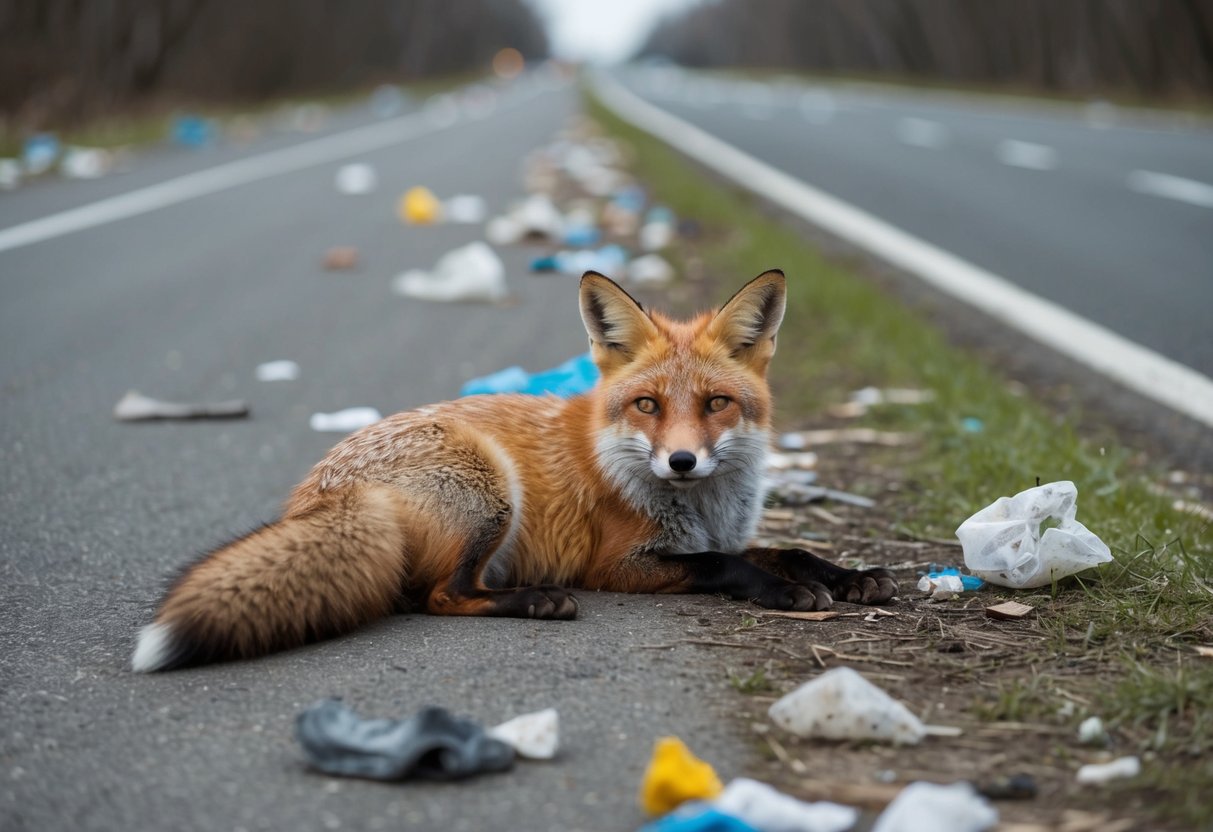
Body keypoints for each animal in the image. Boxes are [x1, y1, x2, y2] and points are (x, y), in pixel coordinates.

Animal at [131, 269, 898, 672]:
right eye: (647, 404)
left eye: (716, 404)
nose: (681, 460)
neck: (702, 505)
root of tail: (324, 491)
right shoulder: (621, 565)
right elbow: (726, 565)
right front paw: (785, 593)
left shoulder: (718, 534)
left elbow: (787, 548)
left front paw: (850, 576)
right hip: (490, 493)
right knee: (438, 597)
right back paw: (535, 599)